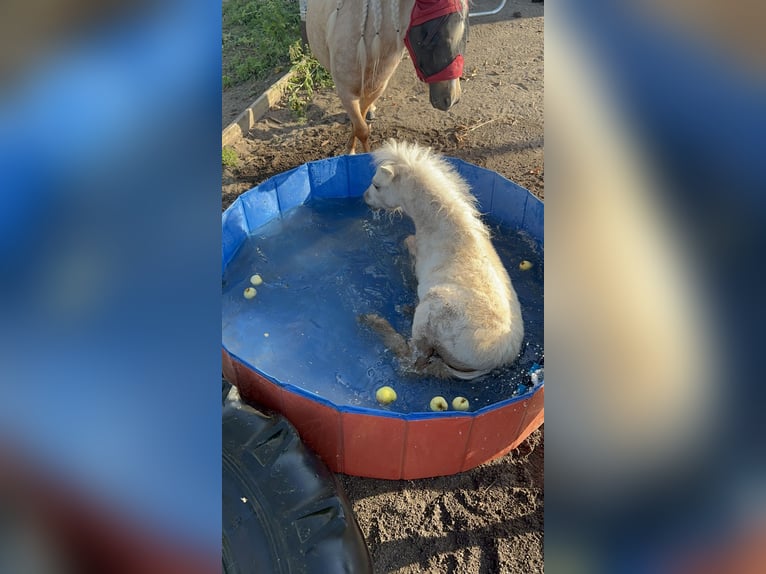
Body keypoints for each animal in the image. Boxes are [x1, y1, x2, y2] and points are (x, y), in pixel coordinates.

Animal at [364, 142, 524, 380]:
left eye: (377, 185)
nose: (365, 198)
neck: (443, 229)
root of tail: (495, 360)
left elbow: (407, 248)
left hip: (429, 315)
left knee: (412, 360)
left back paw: (374, 320)